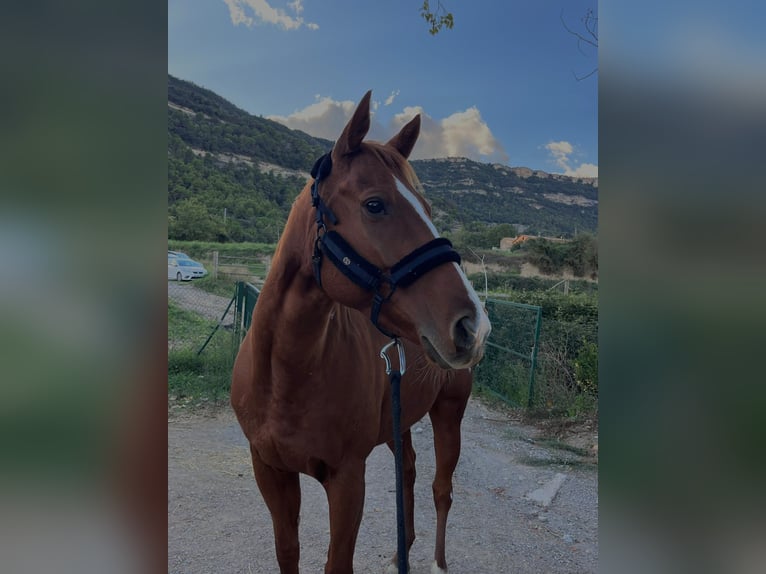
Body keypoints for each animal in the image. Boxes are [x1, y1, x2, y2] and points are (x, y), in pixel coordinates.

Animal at [231, 91, 491, 574]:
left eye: (429, 210)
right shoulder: (271, 471)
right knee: (408, 471)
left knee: (441, 488)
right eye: (374, 204)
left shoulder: (347, 478)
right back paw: (401, 550)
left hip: (449, 413)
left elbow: (338, 562)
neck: (286, 377)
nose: (473, 326)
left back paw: (437, 562)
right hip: (398, 421)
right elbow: (287, 551)